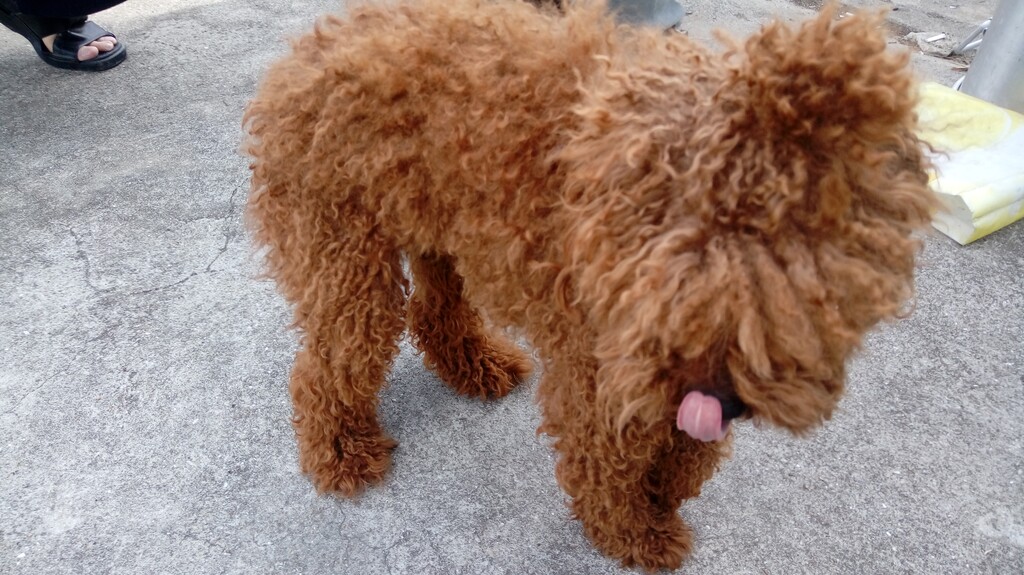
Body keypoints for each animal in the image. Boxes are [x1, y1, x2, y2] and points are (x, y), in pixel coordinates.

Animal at [244, 0, 935, 569]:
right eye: (694, 268)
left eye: (824, 292)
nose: (724, 398)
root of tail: (301, 54)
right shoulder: (602, 365)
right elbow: (607, 458)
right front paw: (634, 533)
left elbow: (682, 453)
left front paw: (666, 492)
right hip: (343, 252)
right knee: (329, 362)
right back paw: (340, 452)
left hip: (433, 224)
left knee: (435, 313)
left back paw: (475, 365)